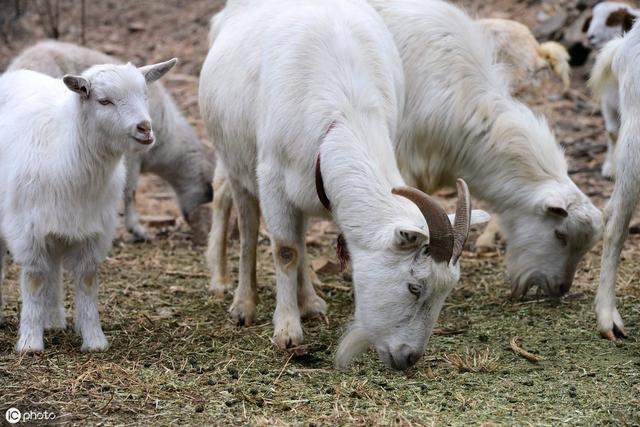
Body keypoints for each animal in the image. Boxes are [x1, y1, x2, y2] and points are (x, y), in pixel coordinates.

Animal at [0, 56, 175, 352]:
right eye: (104, 101)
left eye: (145, 94)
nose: (145, 128)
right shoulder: (28, 230)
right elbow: (35, 279)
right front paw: (30, 343)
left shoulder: (93, 229)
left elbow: (86, 280)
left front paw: (94, 340)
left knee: (54, 268)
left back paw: (54, 320)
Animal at [8, 43, 215, 244]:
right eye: (208, 194)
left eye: (145, 95)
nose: (145, 128)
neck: (167, 145)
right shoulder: (132, 157)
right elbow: (130, 191)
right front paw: (137, 230)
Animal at [201, 0, 490, 372]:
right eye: (414, 287)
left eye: (447, 292)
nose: (408, 357)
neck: (344, 113)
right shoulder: (273, 179)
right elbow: (285, 250)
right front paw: (287, 331)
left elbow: (297, 243)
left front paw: (303, 308)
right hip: (237, 160)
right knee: (249, 226)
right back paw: (243, 304)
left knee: (300, 233)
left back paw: (310, 302)